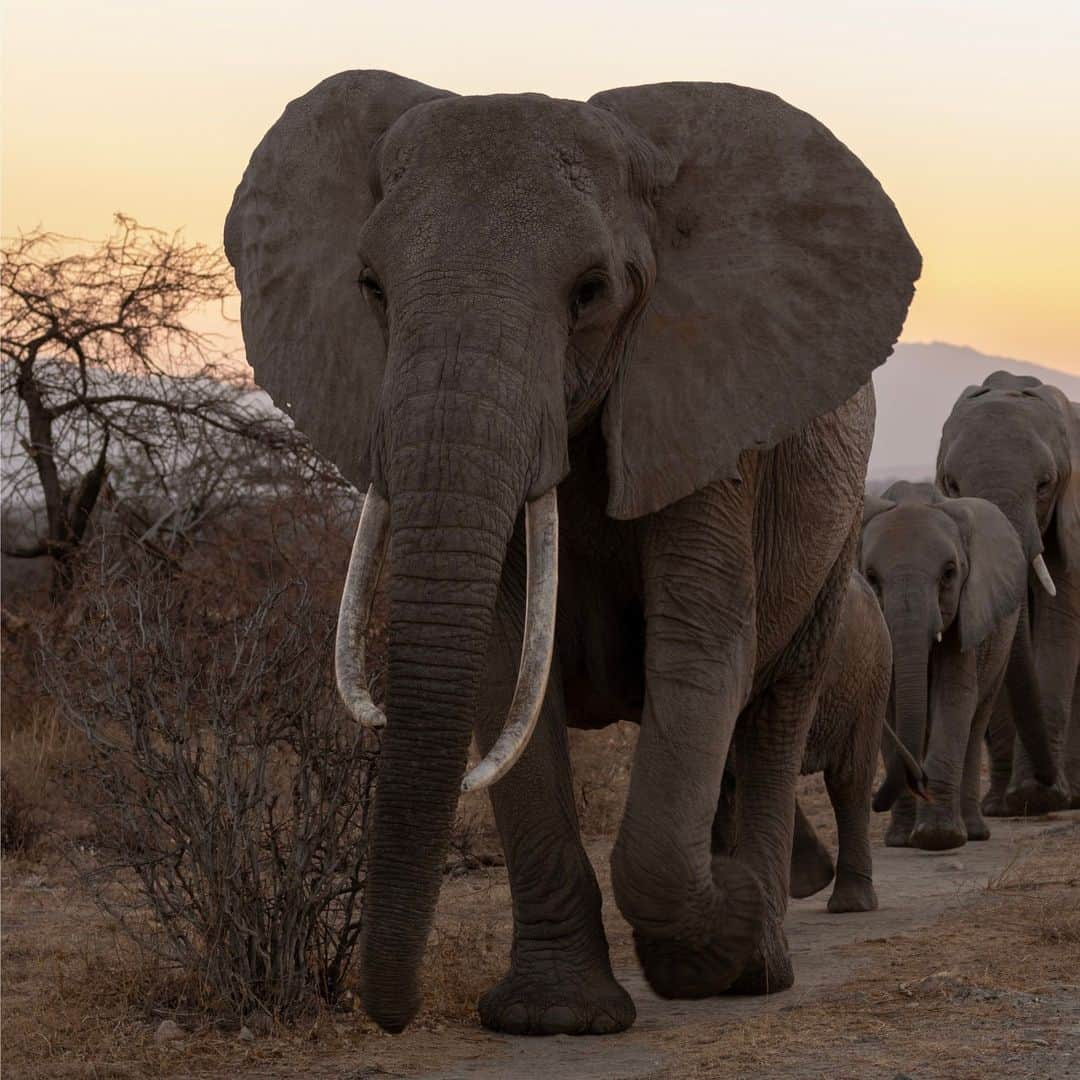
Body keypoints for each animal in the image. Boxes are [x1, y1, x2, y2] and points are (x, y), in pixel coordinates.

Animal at [225, 69, 920, 1036]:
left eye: (591, 291)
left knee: (773, 712)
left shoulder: (707, 414)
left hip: (838, 543)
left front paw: (726, 926)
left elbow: (699, 649)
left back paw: (761, 950)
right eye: (370, 287)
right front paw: (554, 1018)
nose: (392, 1015)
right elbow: (499, 664)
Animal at [859, 483, 1028, 851]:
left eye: (949, 573)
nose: (875, 803)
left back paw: (974, 833)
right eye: (871, 577)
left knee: (976, 722)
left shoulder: (967, 613)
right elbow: (889, 706)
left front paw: (938, 838)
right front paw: (903, 840)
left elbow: (953, 697)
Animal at [937, 371, 1080, 812]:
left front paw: (1038, 797)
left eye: (1044, 485)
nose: (1046, 782)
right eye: (952, 485)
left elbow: (1059, 625)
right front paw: (1005, 805)